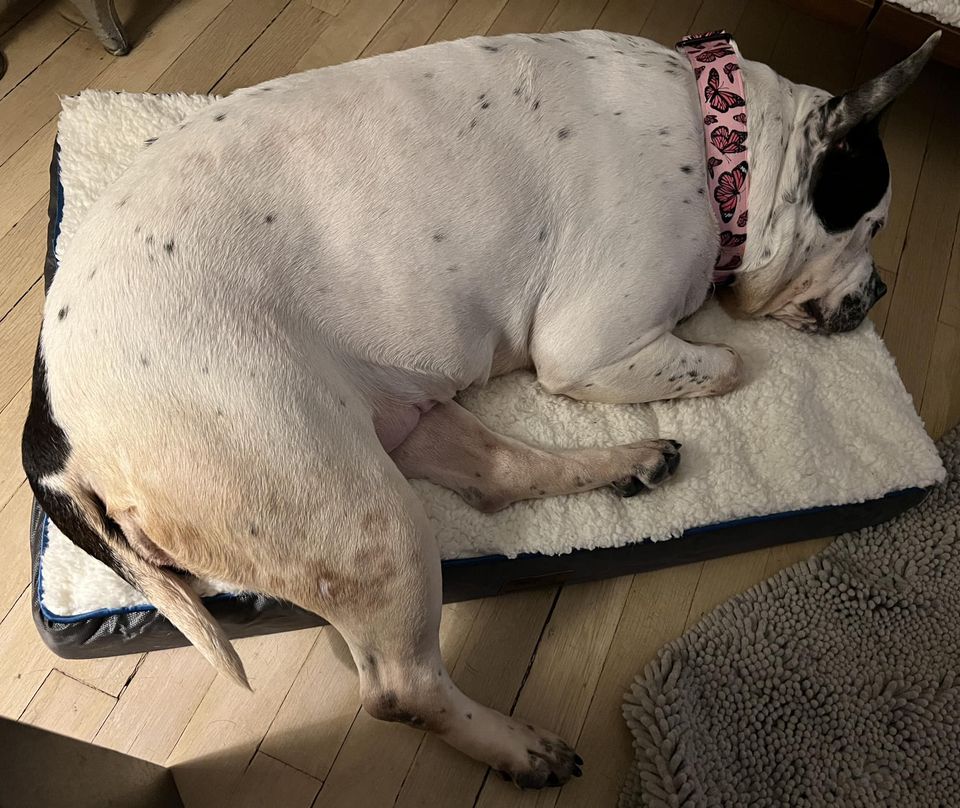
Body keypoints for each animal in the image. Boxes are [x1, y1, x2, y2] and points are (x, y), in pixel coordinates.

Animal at [22, 28, 936, 784]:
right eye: (872, 225)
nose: (881, 291)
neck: (729, 149)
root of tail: (56, 436)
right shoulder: (592, 347)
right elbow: (728, 362)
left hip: (392, 428)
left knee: (499, 468)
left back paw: (631, 463)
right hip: (354, 509)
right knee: (402, 686)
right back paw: (518, 747)